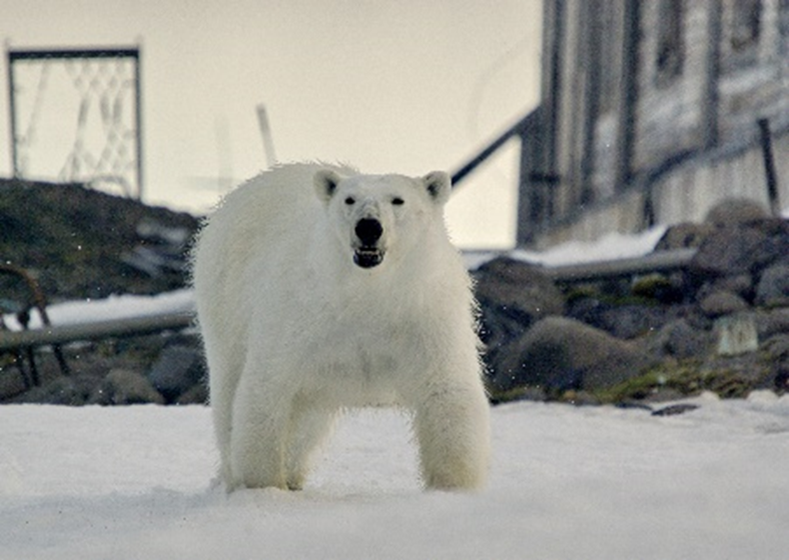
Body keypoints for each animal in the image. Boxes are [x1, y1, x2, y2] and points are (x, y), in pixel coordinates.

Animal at [191, 162, 486, 490]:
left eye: (398, 200)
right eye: (349, 199)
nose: (368, 227)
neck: (368, 291)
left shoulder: (425, 315)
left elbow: (446, 391)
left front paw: (452, 487)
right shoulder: (299, 313)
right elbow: (268, 388)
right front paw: (264, 485)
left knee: (307, 422)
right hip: (224, 300)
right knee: (228, 389)